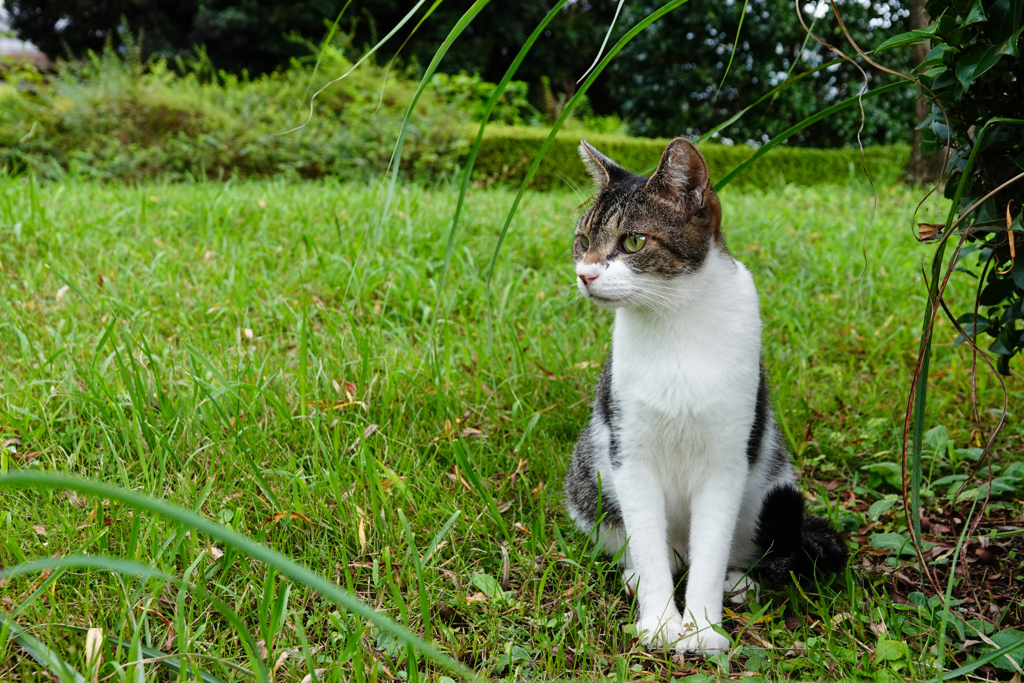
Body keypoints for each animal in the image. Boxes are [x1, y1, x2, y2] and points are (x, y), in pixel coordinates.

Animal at [565, 136, 843, 655]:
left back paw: (739, 582)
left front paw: (702, 628)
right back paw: (637, 577)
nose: (585, 275)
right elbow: (649, 546)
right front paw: (659, 622)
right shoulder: (629, 454)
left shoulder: (727, 459)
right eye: (583, 240)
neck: (675, 318)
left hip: (769, 486)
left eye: (633, 241)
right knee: (658, 551)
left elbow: (710, 551)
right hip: (590, 486)